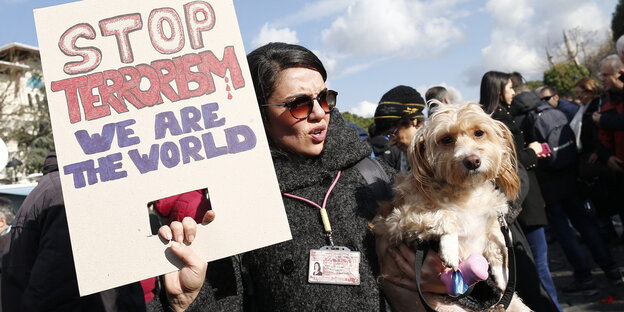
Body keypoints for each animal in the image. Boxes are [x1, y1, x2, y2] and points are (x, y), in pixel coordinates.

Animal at [372, 103, 528, 312]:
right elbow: (447, 215)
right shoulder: (397, 220)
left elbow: (498, 247)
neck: (467, 194)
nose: (472, 160)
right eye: (446, 139)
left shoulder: (492, 222)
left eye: (479, 133)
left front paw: (504, 278)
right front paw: (450, 249)